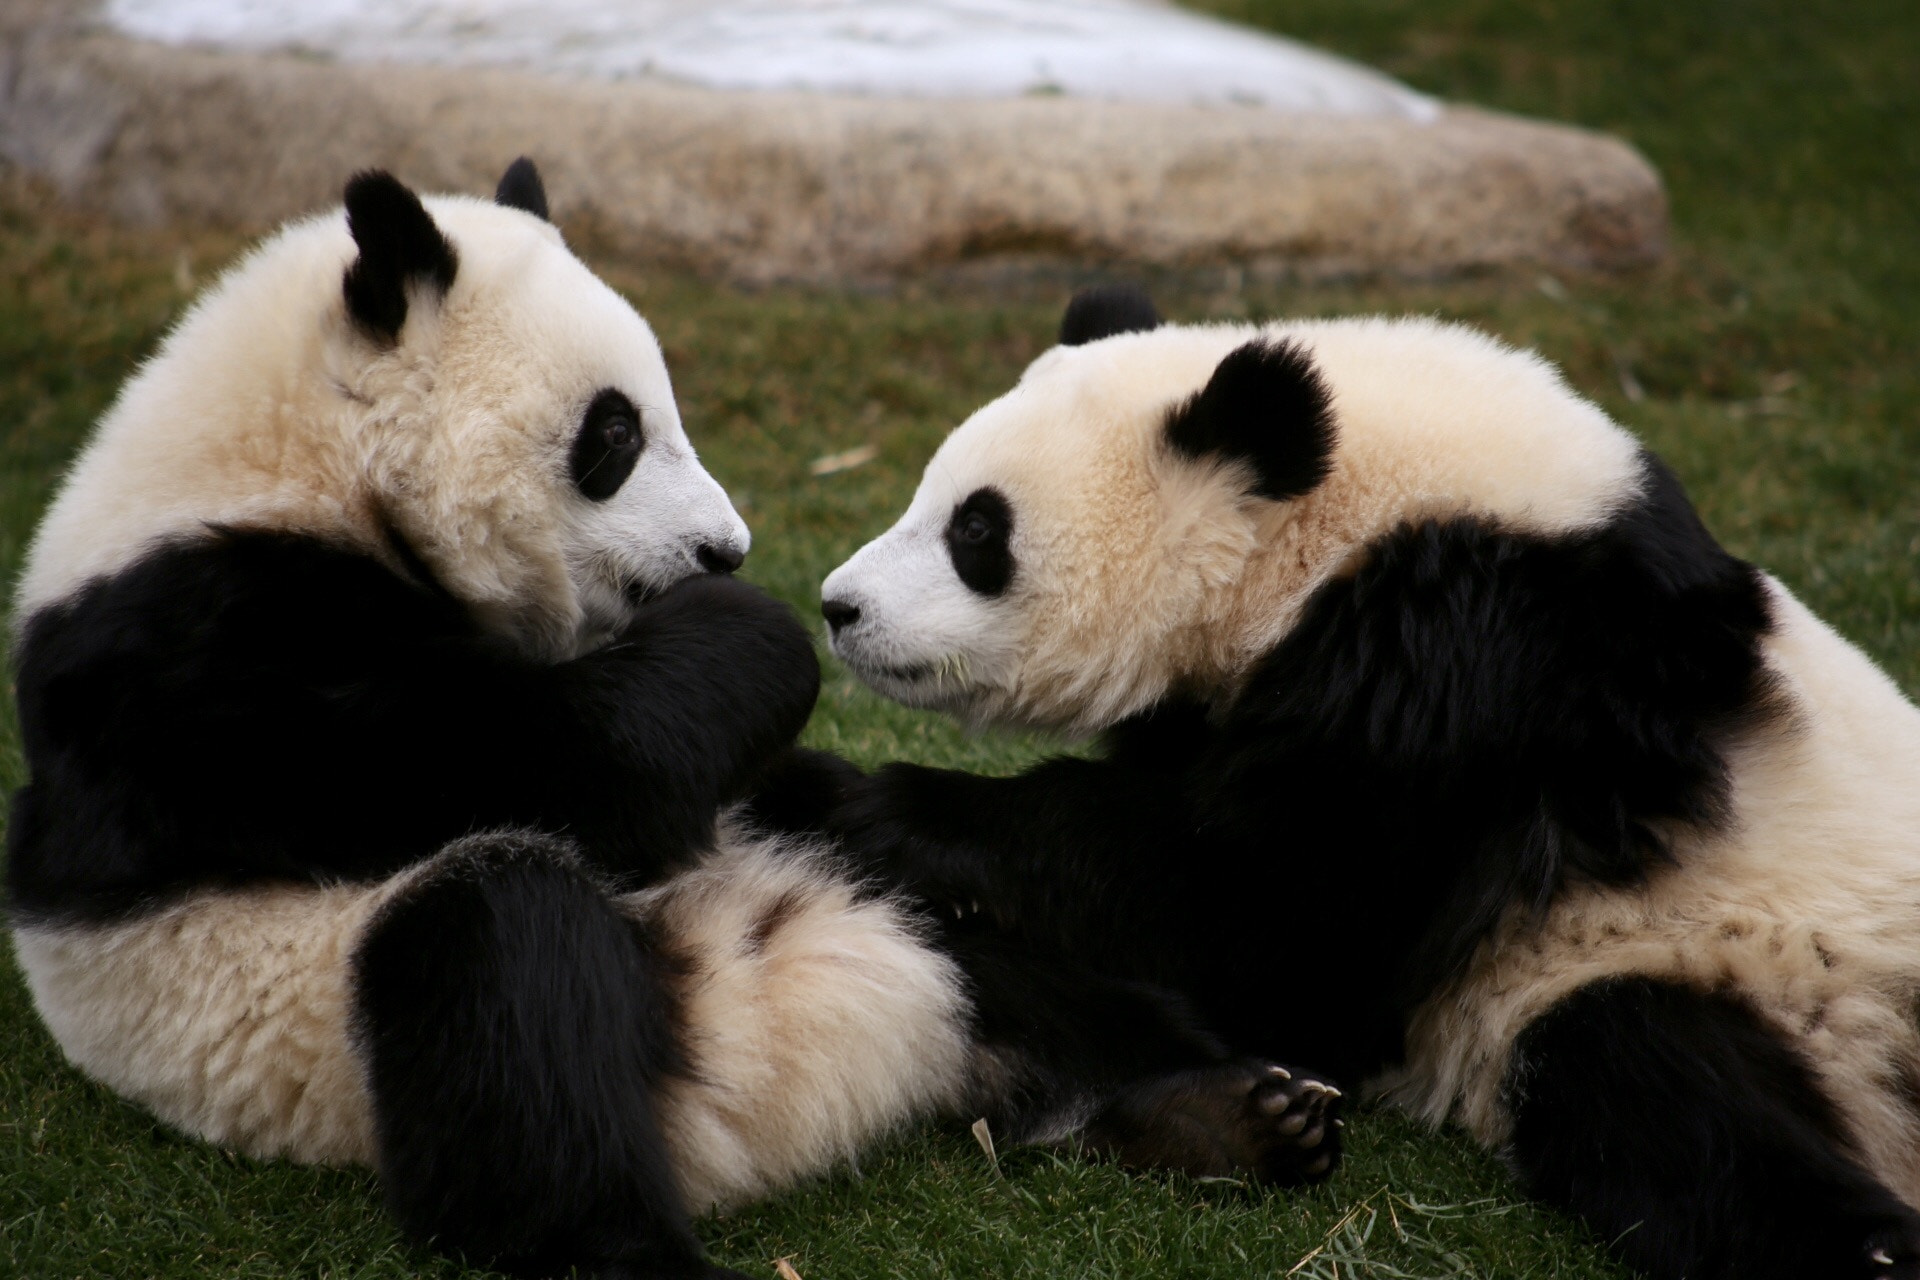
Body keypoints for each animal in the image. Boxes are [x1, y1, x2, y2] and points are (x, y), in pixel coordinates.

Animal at [6, 184, 1341, 1279]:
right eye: (612, 435)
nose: (725, 549)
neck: (293, 462)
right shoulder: (204, 649)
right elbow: (551, 759)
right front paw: (755, 627)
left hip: (838, 879)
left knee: (995, 943)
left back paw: (1221, 1109)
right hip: (322, 1020)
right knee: (499, 974)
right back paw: (629, 1243)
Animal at [818, 284, 1920, 1280]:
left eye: (977, 531)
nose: (837, 606)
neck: (1351, 514)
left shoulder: (1476, 658)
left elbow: (1276, 913)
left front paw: (890, 804)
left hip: (1743, 925)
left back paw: (1871, 1251)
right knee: (1663, 1095)